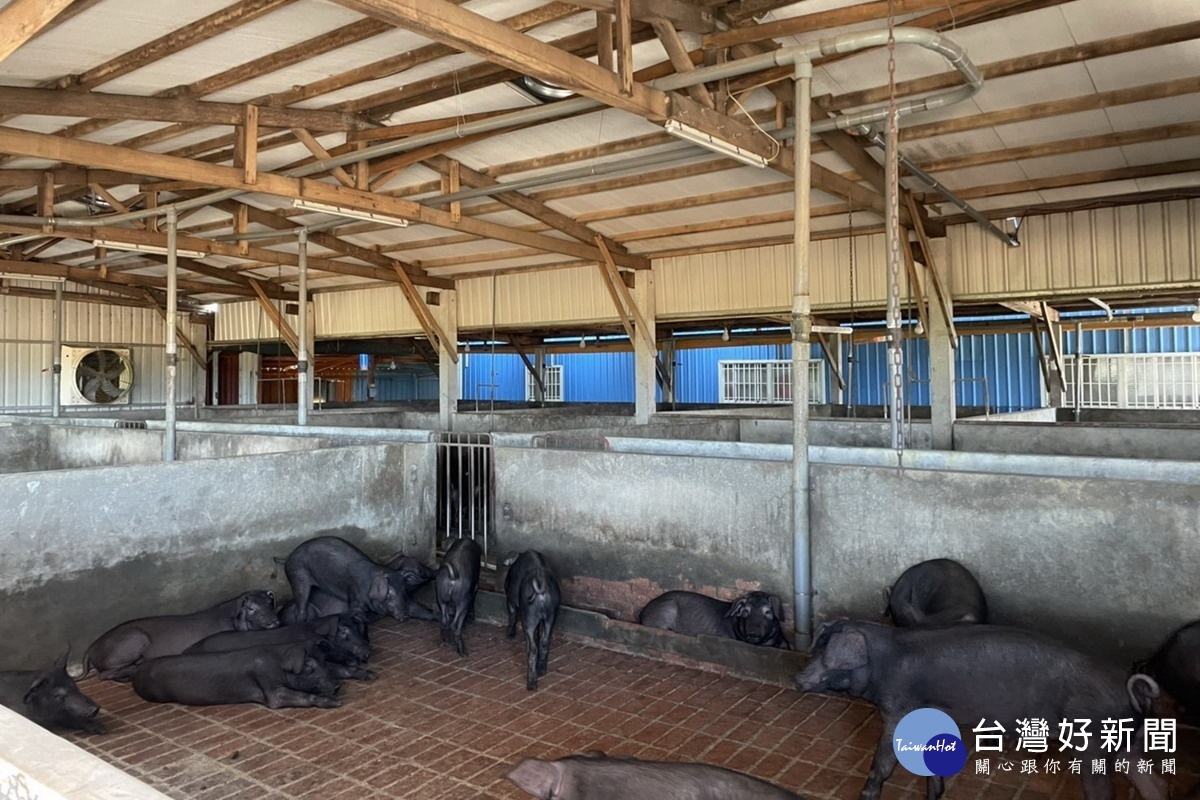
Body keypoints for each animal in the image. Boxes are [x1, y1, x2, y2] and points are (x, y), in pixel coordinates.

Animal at [506, 551, 561, 690]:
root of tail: (541, 590)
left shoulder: (510, 599)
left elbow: (512, 614)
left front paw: (509, 634)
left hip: (529, 618)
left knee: (532, 649)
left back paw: (531, 685)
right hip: (551, 615)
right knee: (545, 640)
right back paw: (541, 671)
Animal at [796, 623, 1161, 800]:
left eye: (825, 654)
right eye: (815, 649)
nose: (797, 678)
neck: (885, 663)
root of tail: (1133, 694)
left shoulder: (900, 708)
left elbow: (884, 760)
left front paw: (866, 795)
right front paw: (935, 795)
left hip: (1094, 741)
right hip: (1127, 742)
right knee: (1154, 783)